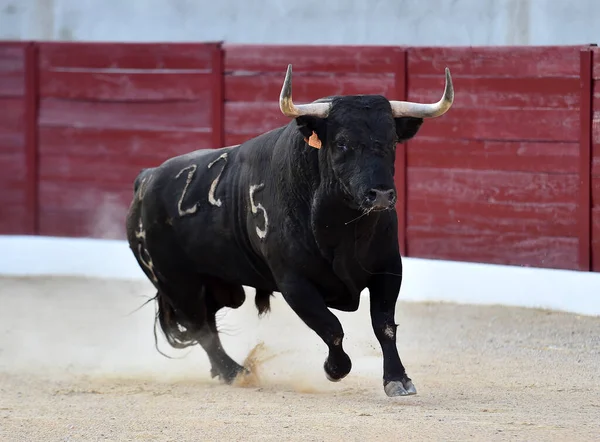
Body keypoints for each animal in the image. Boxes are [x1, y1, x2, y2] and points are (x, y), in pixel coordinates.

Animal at [126, 63, 454, 398]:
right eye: (342, 143)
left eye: (391, 142)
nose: (382, 195)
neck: (344, 229)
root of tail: (146, 178)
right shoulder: (294, 282)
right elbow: (331, 327)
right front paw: (335, 370)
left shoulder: (388, 268)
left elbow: (384, 325)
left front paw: (398, 379)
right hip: (178, 284)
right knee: (201, 328)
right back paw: (236, 372)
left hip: (211, 286)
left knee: (208, 323)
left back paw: (231, 372)